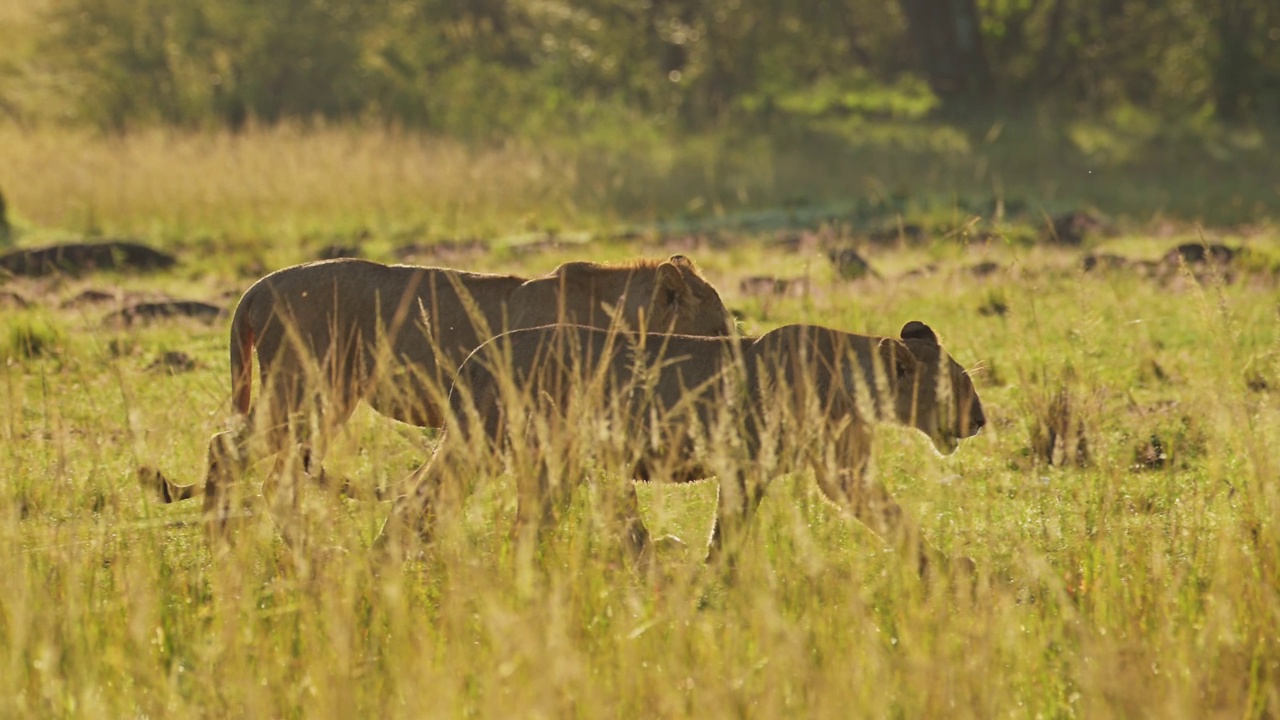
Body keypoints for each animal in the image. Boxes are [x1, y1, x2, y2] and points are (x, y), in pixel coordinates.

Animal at [140, 252, 732, 520]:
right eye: (719, 326)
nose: (734, 359)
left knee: (268, 477)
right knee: (228, 450)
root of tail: (257, 287)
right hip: (307, 391)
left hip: (316, 399)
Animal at [373, 319, 983, 571]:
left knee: (527, 520)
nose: (979, 420)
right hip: (483, 442)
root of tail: (475, 358)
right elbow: (731, 524)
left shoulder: (831, 468)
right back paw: (386, 557)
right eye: (957, 384)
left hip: (551, 458)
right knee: (420, 498)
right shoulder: (756, 461)